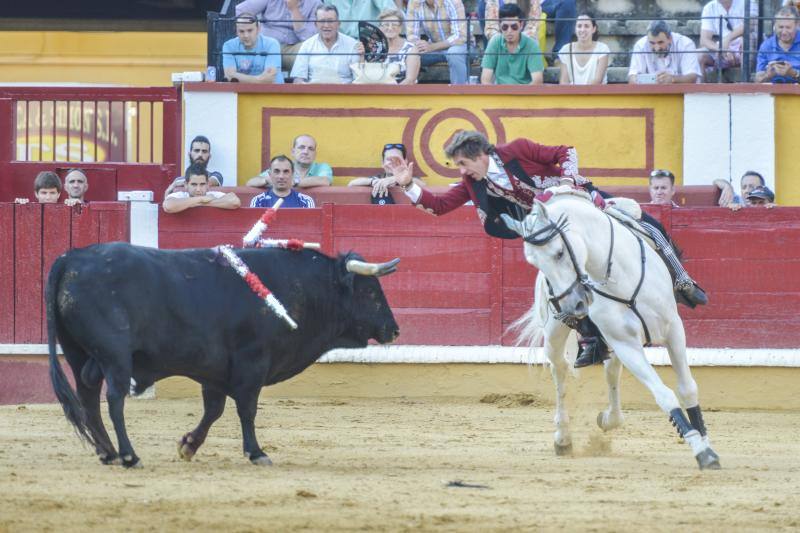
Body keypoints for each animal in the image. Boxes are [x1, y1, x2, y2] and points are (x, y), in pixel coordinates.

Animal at [47, 242, 400, 466]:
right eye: (370, 291)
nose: (394, 330)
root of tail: (72, 257)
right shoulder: (252, 363)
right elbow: (247, 409)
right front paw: (256, 452)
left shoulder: (212, 370)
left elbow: (213, 410)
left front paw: (188, 446)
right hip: (116, 357)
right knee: (113, 400)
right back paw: (129, 455)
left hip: (79, 354)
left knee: (88, 399)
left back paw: (107, 452)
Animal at [504, 191, 720, 470]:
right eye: (533, 262)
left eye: (560, 253)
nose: (573, 306)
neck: (616, 274)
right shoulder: (625, 343)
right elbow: (664, 395)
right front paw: (701, 450)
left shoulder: (673, 329)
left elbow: (687, 388)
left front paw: (704, 441)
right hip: (555, 334)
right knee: (560, 370)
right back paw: (563, 437)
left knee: (611, 371)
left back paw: (608, 419)